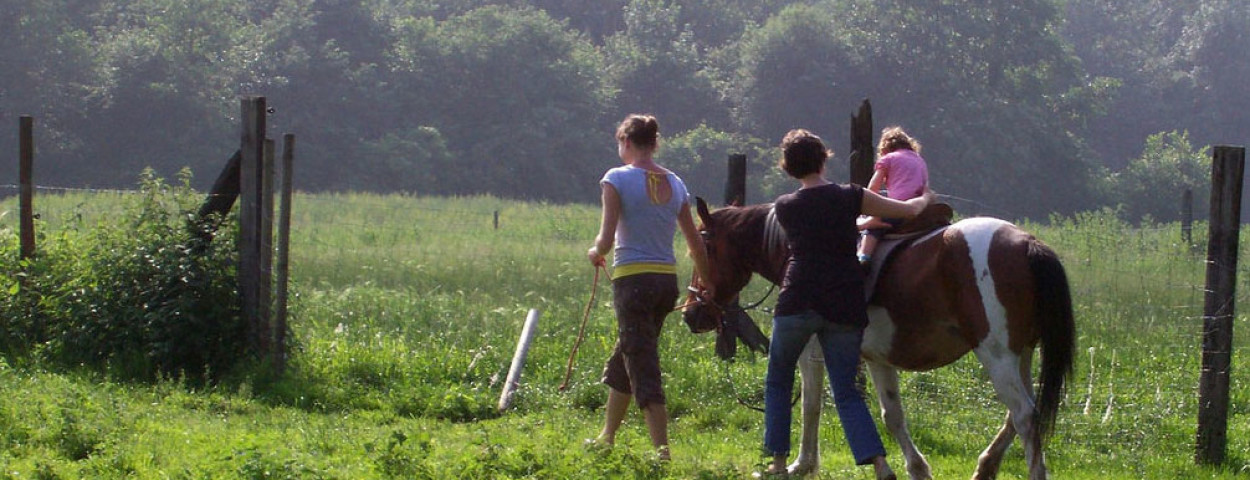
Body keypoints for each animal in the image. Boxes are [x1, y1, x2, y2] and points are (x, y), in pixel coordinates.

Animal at [682, 198, 1074, 480]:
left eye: (702, 246)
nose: (691, 313)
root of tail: (1028, 244)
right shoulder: (876, 357)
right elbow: (891, 415)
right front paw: (915, 469)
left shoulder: (812, 349)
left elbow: (813, 403)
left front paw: (802, 464)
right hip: (1019, 354)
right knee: (1021, 415)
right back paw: (986, 466)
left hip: (997, 355)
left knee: (1024, 415)